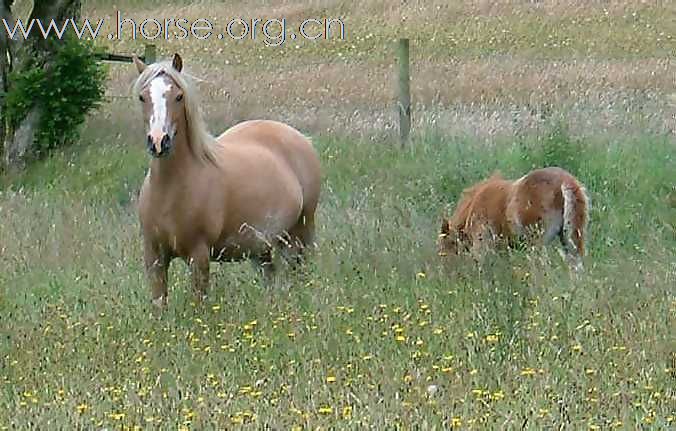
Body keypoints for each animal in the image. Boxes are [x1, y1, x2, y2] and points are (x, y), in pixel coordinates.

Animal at [133, 53, 322, 308]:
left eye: (179, 96)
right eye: (142, 97)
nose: (158, 142)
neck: (171, 189)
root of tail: (301, 138)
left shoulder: (199, 256)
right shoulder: (154, 257)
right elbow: (159, 305)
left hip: (300, 233)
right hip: (262, 248)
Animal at [436, 166, 588, 270]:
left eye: (446, 244)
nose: (445, 269)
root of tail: (565, 182)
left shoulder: (482, 242)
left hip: (537, 242)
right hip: (571, 237)